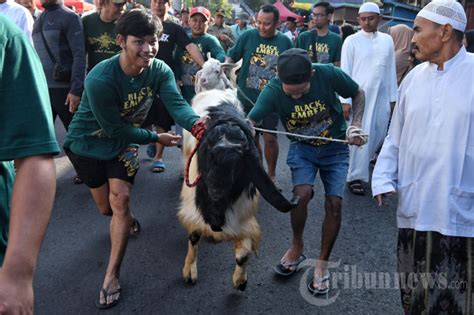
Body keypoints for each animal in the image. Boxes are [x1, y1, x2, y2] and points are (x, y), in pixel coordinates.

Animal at [178, 59, 296, 292]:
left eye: (238, 163)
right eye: (208, 154)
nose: (215, 188)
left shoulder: (243, 214)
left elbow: (243, 253)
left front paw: (240, 280)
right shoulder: (193, 205)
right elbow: (193, 236)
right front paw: (189, 271)